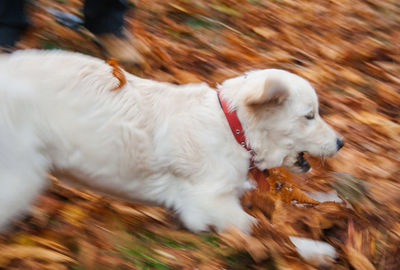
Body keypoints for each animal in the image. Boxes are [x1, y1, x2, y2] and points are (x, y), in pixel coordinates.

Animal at [0, 49, 344, 233]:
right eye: (309, 115)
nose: (341, 142)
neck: (233, 129)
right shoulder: (206, 202)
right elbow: (258, 228)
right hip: (21, 173)